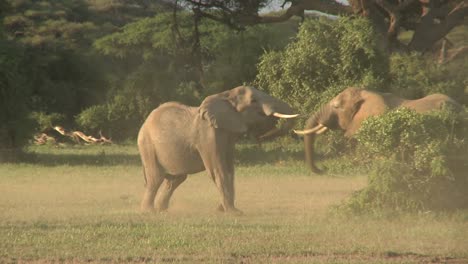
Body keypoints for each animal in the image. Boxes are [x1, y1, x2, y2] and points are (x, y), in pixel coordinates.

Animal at [139, 85, 298, 213]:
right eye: (253, 101)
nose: (263, 135)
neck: (225, 95)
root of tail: (146, 121)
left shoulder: (227, 134)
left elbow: (229, 169)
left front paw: (223, 210)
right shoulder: (208, 135)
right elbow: (217, 169)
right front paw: (234, 213)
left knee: (176, 179)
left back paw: (162, 210)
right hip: (147, 145)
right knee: (156, 178)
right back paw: (149, 211)